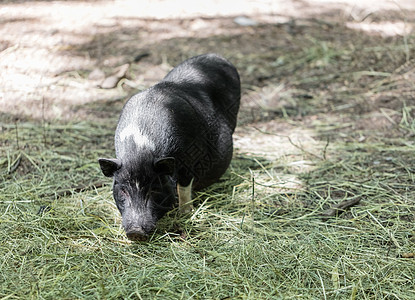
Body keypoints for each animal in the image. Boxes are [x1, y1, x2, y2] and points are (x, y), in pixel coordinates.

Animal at [98, 54, 240, 241]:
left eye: (154, 189)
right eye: (122, 191)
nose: (135, 231)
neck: (140, 148)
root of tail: (217, 57)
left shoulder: (189, 160)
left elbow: (183, 187)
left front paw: (185, 213)